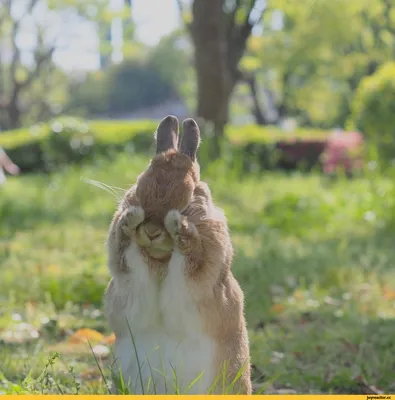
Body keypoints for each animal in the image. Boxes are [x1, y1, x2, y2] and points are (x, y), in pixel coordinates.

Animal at [105, 115, 252, 394]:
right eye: (138, 189)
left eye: (188, 201)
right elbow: (129, 257)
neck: (161, 259)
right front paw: (130, 221)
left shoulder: (198, 280)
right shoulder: (131, 281)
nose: (151, 232)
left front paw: (180, 227)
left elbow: (190, 262)